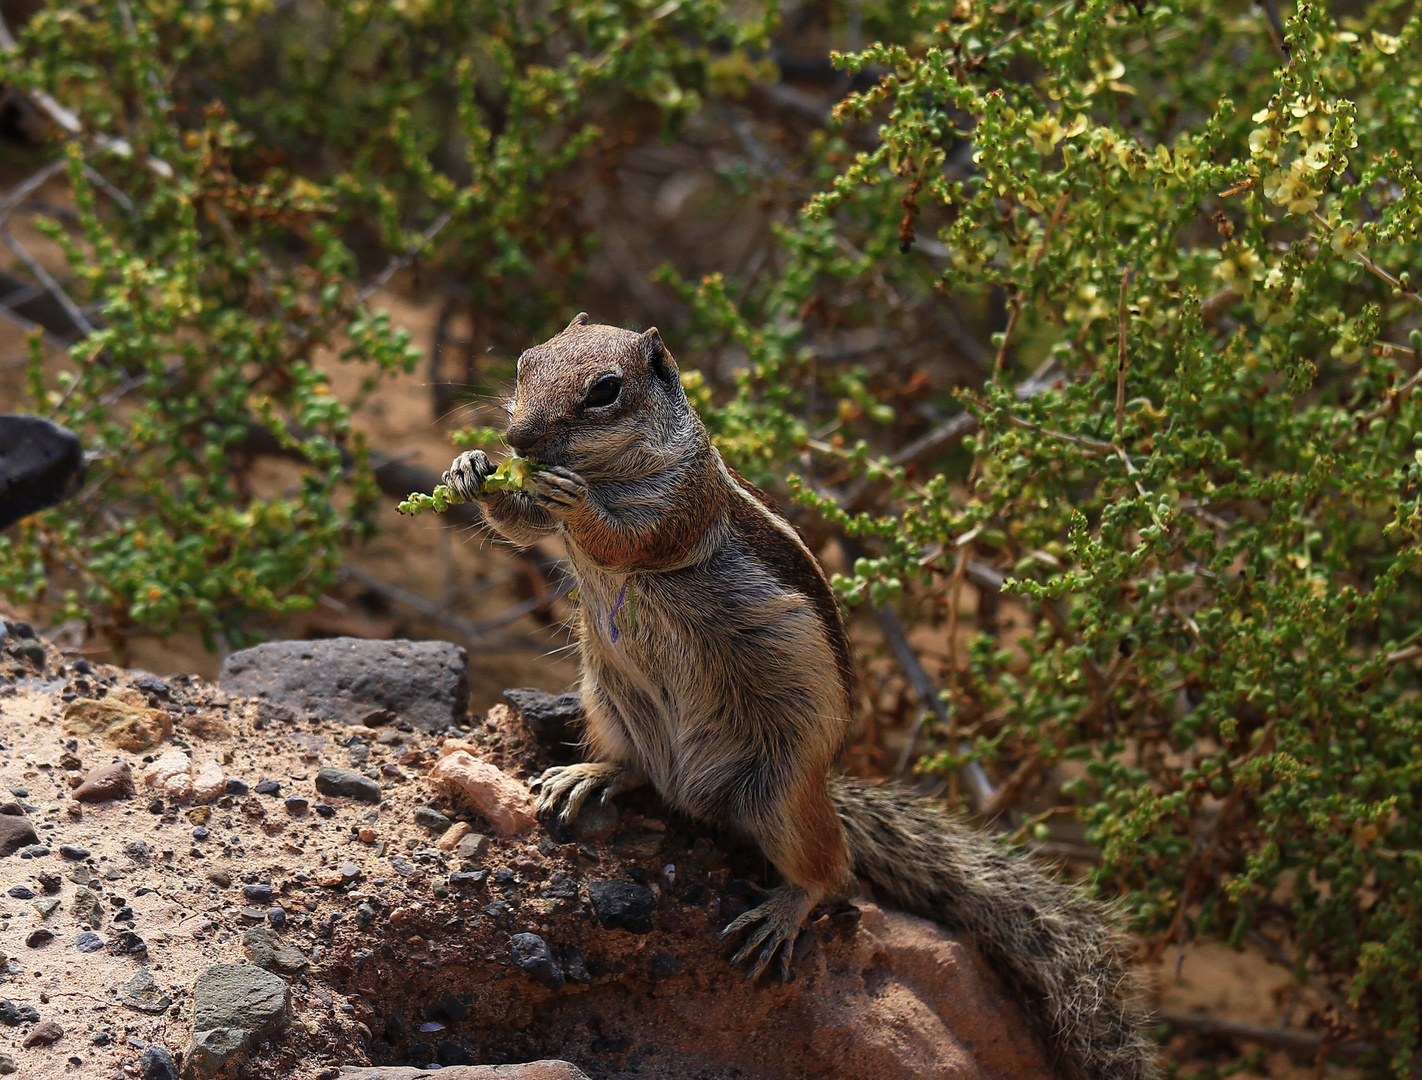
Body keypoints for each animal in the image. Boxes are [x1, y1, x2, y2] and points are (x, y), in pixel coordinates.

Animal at [443, 314, 1154, 1080]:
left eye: (605, 391)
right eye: (526, 360)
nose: (517, 439)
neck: (615, 468)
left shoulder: (684, 505)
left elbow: (626, 537)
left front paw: (572, 499)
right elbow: (522, 526)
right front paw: (471, 470)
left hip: (780, 792)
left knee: (829, 869)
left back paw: (781, 914)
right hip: (607, 701)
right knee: (636, 769)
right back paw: (590, 774)